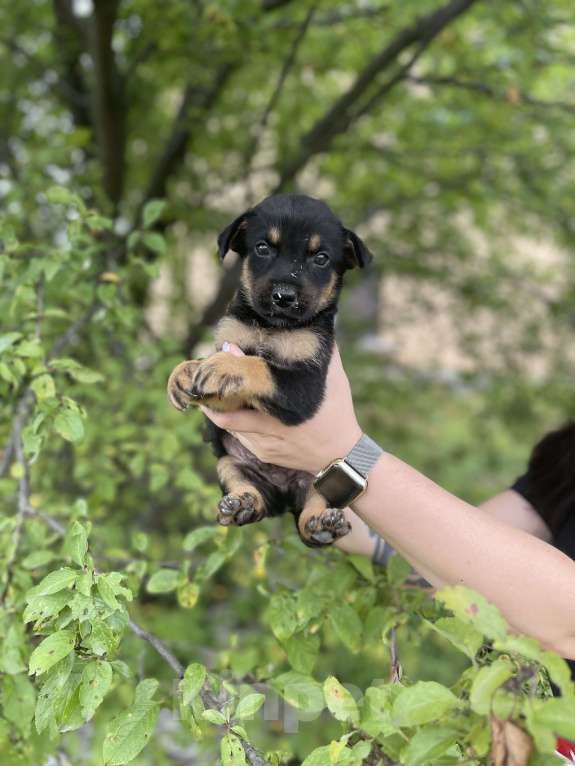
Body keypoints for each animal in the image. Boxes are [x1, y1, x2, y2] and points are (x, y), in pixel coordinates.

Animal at [166, 195, 374, 548]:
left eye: (321, 258)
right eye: (263, 248)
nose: (283, 296)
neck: (272, 327)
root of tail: (284, 494)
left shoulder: (305, 384)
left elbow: (260, 366)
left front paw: (223, 368)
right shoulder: (230, 339)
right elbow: (211, 360)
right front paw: (182, 373)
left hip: (318, 480)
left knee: (311, 511)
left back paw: (322, 524)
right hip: (229, 463)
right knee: (254, 497)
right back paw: (242, 505)